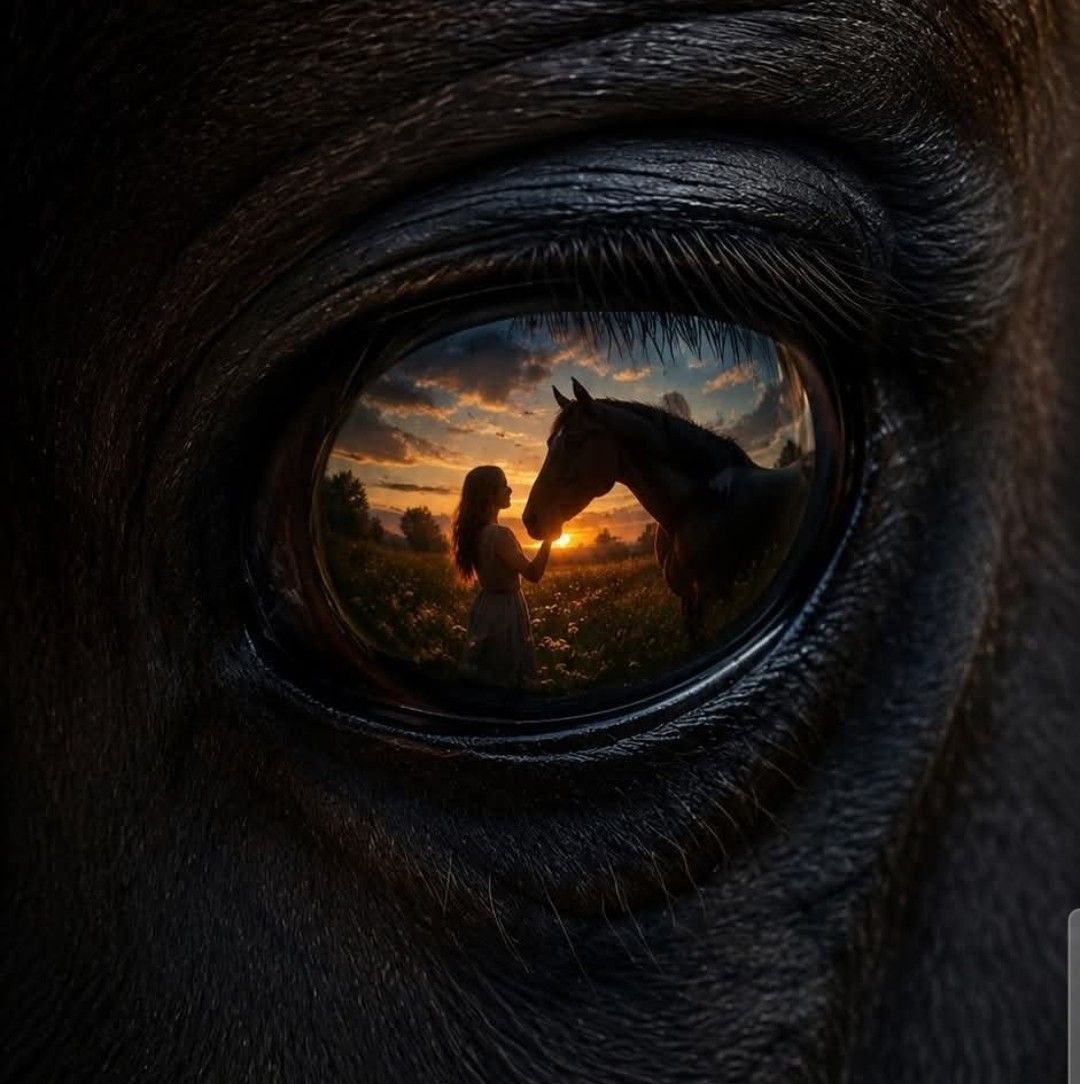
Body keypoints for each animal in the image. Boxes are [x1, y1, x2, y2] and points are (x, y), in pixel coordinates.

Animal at [522, 378, 810, 639]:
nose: (530, 519)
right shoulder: (687, 600)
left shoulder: (715, 593)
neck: (695, 505)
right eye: (549, 443)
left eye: (573, 440)